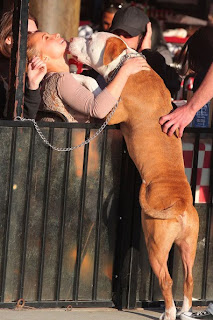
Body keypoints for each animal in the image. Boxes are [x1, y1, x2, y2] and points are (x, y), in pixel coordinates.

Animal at [69, 33, 200, 320]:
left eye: (89, 39)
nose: (72, 38)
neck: (125, 65)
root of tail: (181, 206)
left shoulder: (111, 112)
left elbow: (96, 86)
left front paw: (77, 77)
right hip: (189, 244)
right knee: (188, 278)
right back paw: (185, 309)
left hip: (155, 245)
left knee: (166, 280)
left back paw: (169, 313)